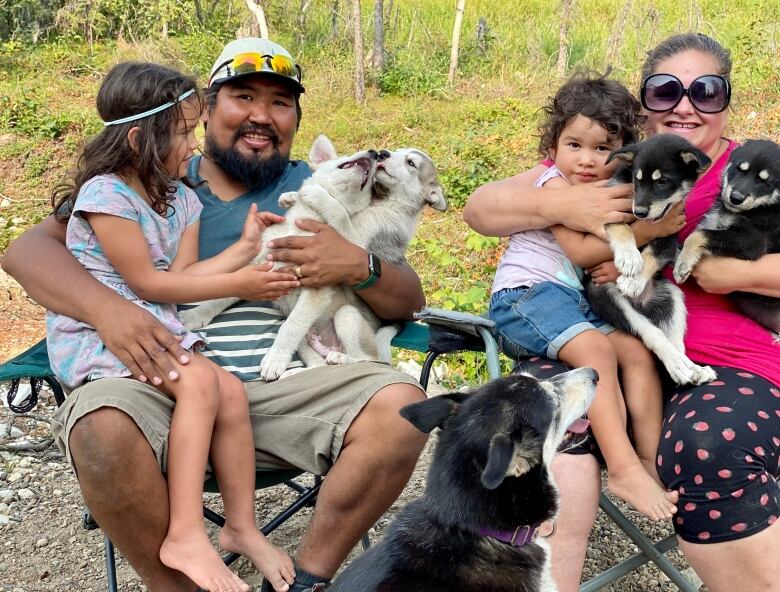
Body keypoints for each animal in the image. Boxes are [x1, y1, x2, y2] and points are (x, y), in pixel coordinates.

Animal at [181, 135, 380, 382]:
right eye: (346, 155)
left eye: (370, 185)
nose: (376, 153)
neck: (301, 225)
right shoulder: (255, 266)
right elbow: (219, 297)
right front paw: (195, 315)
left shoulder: (317, 287)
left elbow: (291, 327)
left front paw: (274, 360)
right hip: (308, 342)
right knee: (316, 360)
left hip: (347, 316)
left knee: (368, 358)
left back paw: (340, 358)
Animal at [584, 134, 720, 384]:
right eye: (636, 180)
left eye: (663, 181)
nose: (639, 212)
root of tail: (643, 305)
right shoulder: (606, 212)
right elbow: (623, 227)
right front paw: (629, 257)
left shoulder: (669, 238)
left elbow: (653, 255)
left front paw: (634, 280)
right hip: (608, 296)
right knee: (652, 333)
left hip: (672, 299)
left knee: (675, 342)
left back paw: (692, 369)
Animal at [672, 139, 780, 332]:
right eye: (740, 169)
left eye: (764, 181)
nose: (735, 198)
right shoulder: (713, 221)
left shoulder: (753, 242)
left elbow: (698, 235)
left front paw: (683, 264)